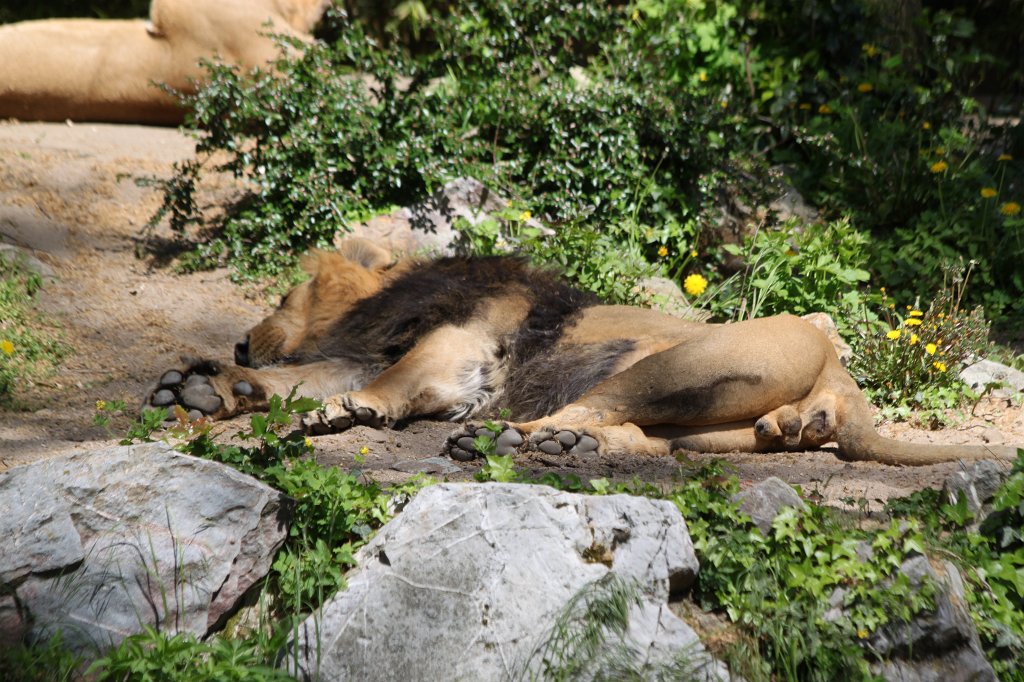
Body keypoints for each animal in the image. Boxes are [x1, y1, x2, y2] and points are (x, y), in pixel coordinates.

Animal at [147, 238, 1019, 466]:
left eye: (282, 296)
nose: (239, 336)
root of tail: (846, 384)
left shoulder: (456, 347)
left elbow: (383, 382)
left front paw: (344, 410)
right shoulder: (368, 345)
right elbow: (295, 375)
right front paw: (209, 385)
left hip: (683, 361)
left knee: (593, 408)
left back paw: (506, 441)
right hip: (710, 419)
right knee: (634, 436)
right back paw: (564, 445)